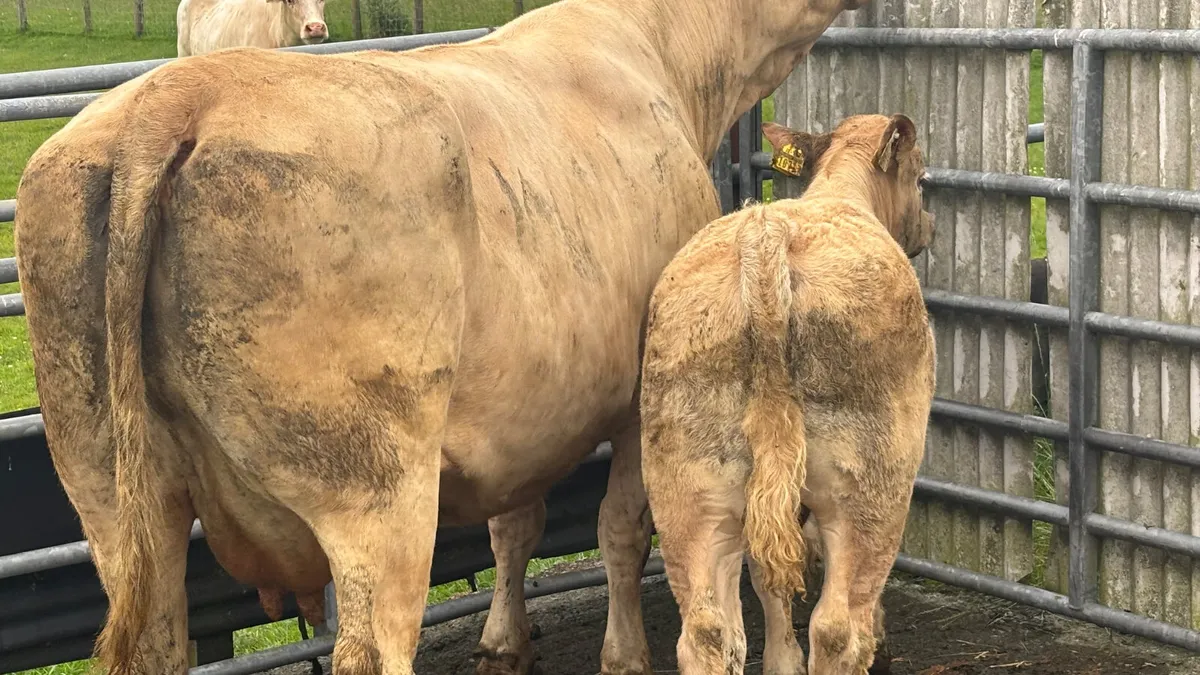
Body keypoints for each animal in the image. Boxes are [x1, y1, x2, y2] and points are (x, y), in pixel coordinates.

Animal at [638, 114, 936, 675]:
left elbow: (768, 578)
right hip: (870, 489)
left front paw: (781, 658)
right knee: (838, 628)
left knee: (709, 632)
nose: (929, 225)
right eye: (920, 175)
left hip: (689, 486)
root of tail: (765, 234)